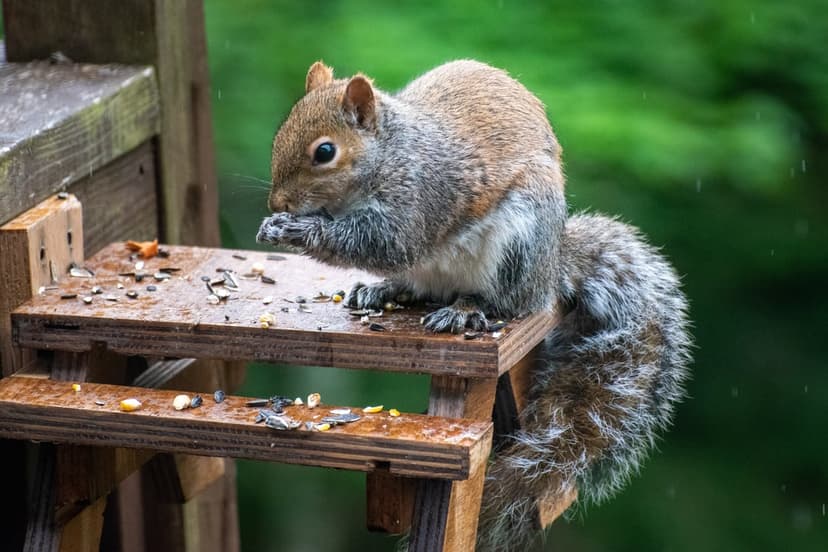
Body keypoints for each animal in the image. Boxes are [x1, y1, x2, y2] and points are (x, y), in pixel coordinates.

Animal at [257, 60, 691, 551]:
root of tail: (549, 272)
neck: (389, 156)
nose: (277, 202)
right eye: (281, 133)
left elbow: (383, 242)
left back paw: (467, 308)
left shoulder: (421, 200)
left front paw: (297, 229)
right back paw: (383, 291)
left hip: (516, 248)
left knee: (504, 301)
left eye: (325, 152)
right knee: (417, 285)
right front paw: (276, 224)